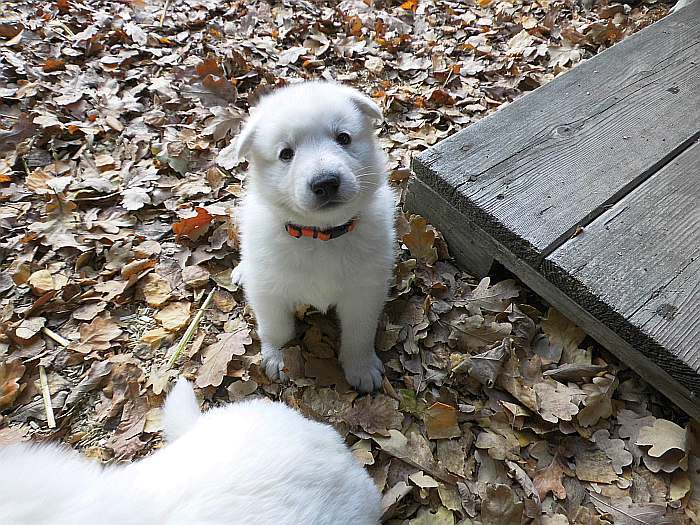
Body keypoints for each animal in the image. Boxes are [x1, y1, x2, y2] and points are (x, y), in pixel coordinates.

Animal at [232, 82, 394, 390]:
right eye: (286, 153)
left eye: (343, 138)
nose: (325, 183)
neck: (320, 235)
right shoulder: (268, 289)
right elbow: (276, 326)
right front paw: (278, 356)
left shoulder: (365, 290)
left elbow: (359, 333)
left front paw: (361, 366)